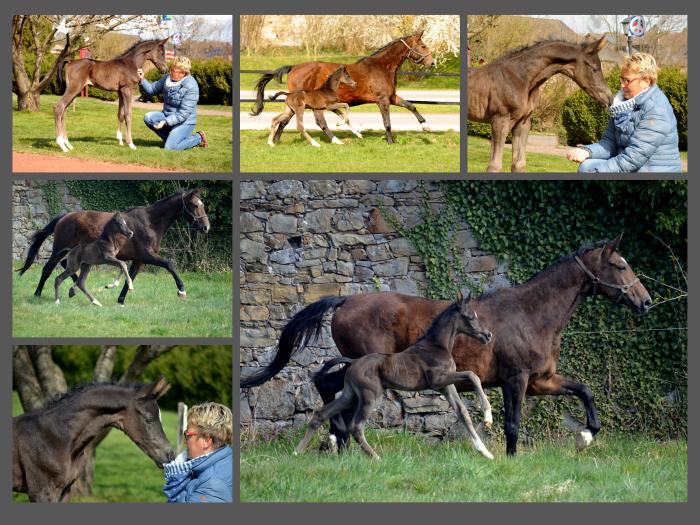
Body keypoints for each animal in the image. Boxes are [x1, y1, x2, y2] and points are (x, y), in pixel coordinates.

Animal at [249, 32, 434, 143]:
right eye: (423, 46)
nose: (432, 63)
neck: (381, 67)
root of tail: (294, 67)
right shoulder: (382, 99)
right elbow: (387, 122)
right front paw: (390, 141)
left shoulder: (391, 97)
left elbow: (411, 105)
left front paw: (425, 126)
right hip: (305, 102)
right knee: (314, 121)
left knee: (288, 119)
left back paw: (276, 140)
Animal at [296, 288, 498, 460]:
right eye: (470, 316)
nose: (487, 335)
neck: (437, 346)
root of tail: (353, 362)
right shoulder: (438, 380)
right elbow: (472, 375)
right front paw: (488, 416)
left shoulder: (445, 386)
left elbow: (463, 412)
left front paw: (486, 452)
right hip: (369, 395)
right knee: (356, 426)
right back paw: (376, 458)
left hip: (350, 394)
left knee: (321, 413)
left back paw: (297, 452)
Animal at [470, 37, 612, 172]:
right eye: (594, 68)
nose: (609, 98)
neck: (519, 78)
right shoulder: (500, 120)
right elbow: (494, 166)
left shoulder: (522, 123)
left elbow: (518, 164)